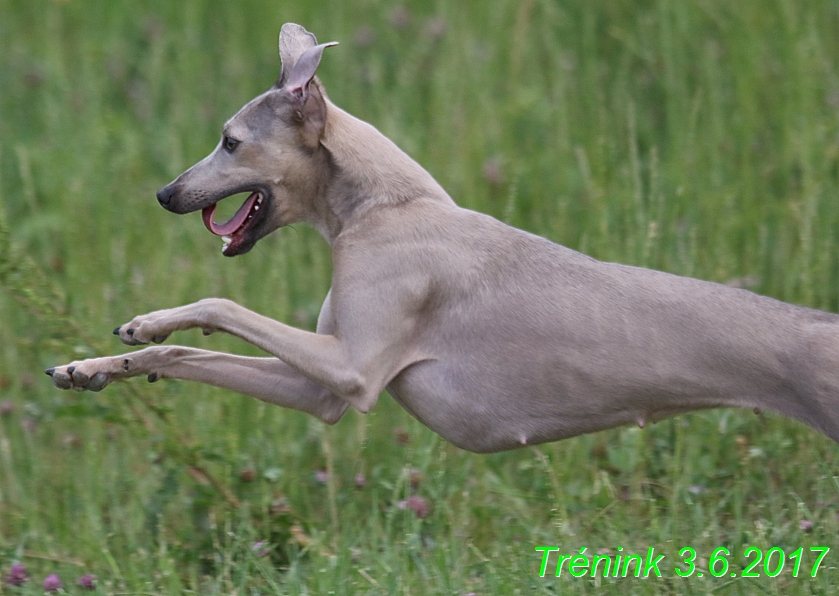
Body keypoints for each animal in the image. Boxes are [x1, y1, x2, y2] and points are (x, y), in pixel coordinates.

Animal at [47, 22, 839, 452]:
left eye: (230, 141)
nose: (165, 195)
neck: (387, 207)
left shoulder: (353, 369)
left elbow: (219, 304)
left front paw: (147, 321)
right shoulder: (320, 394)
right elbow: (182, 353)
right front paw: (97, 365)